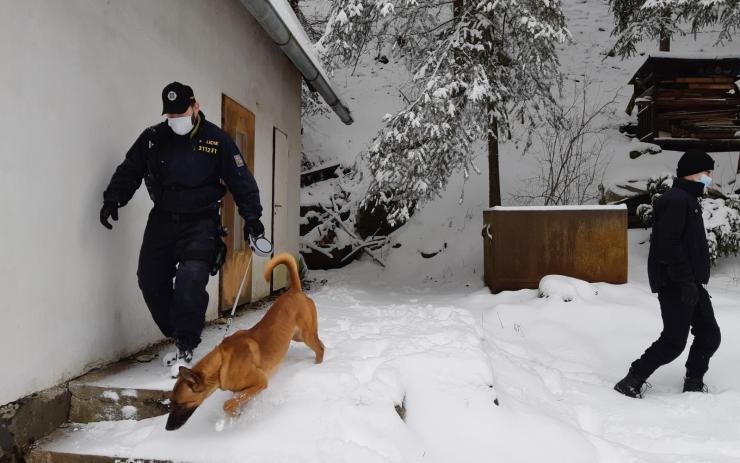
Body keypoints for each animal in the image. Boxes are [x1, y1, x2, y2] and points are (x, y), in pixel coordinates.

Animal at [168, 254, 324, 432]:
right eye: (171, 403)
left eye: (180, 404)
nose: (167, 428)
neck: (221, 364)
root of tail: (295, 290)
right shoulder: (243, 390)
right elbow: (237, 401)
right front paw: (235, 416)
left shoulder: (260, 382)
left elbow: (228, 404)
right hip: (297, 336)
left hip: (306, 335)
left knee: (320, 348)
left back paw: (317, 366)